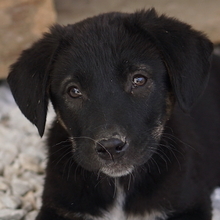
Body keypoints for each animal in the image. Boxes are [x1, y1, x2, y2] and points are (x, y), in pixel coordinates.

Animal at [6, 8, 220, 220]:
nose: (110, 147)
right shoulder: (57, 206)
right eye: (74, 91)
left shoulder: (189, 203)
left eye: (139, 80)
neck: (119, 185)